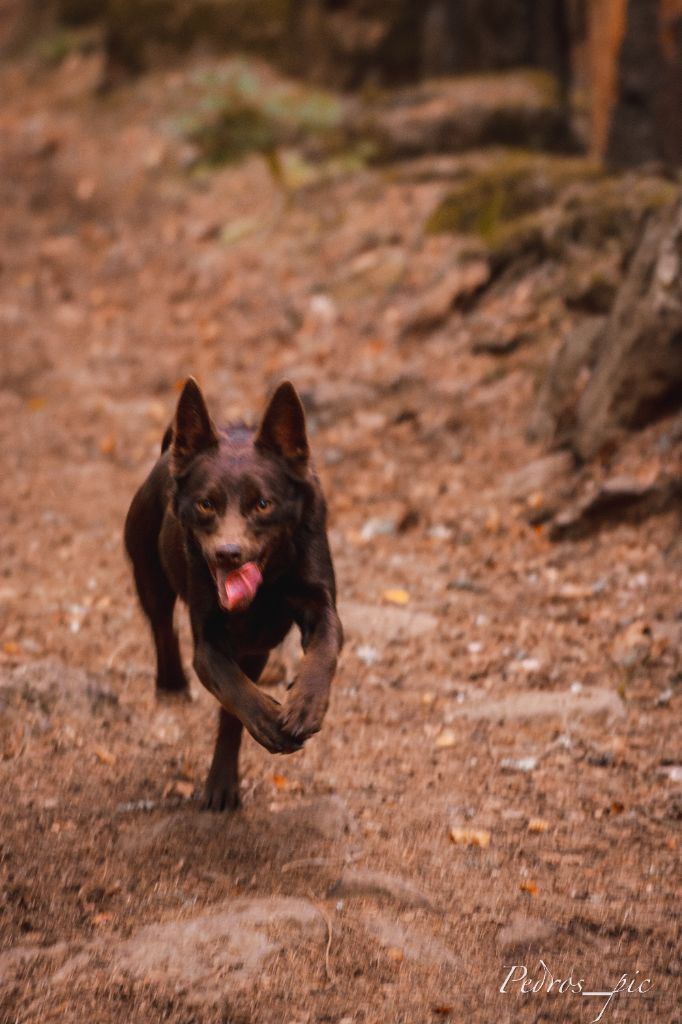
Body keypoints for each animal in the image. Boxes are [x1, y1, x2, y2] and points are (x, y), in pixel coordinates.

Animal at [123, 380, 339, 811]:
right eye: (206, 504)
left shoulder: (319, 602)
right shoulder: (208, 642)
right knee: (162, 628)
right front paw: (270, 721)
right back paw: (172, 687)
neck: (270, 580)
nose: (228, 552)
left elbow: (324, 647)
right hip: (148, 573)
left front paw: (305, 705)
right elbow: (231, 686)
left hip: (256, 648)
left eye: (263, 504)